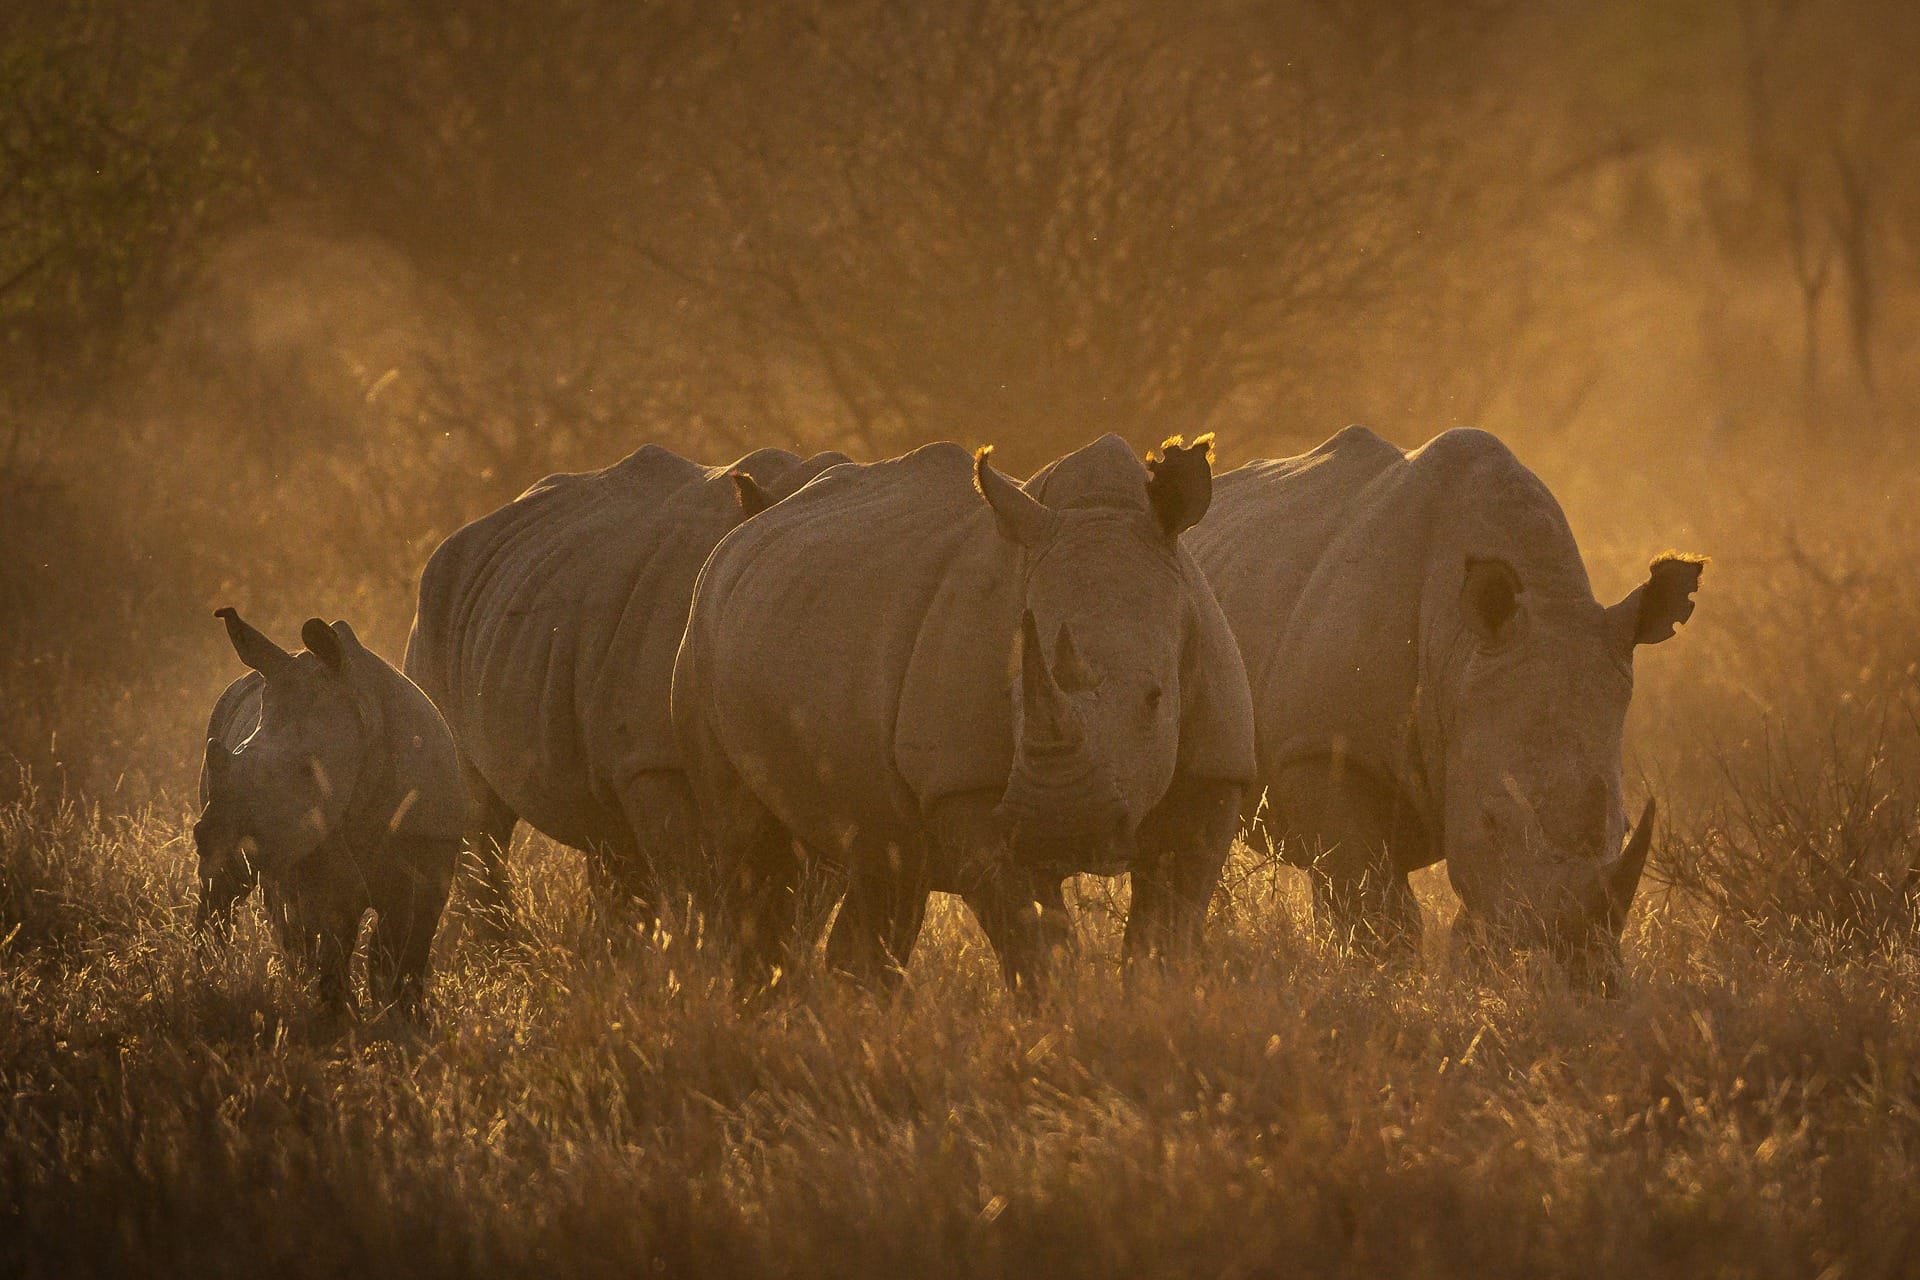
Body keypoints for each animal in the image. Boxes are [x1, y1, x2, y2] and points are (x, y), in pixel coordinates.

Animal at [195, 608, 466, 1015]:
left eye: (307, 771)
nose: (206, 836)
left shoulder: (429, 844)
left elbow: (403, 945)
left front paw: (402, 1013)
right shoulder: (315, 847)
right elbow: (338, 928)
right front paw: (339, 1012)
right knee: (230, 890)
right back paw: (206, 978)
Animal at [403, 445, 848, 928]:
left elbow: (806, 894)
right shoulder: (652, 761)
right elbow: (697, 887)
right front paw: (706, 948)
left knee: (608, 839)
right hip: (436, 612)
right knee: (480, 815)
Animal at [671, 434, 1255, 992]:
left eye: (1155, 699)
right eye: (1010, 699)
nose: (1060, 833)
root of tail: (734, 539)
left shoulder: (1213, 770)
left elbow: (1164, 933)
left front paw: (1151, 1004)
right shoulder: (964, 787)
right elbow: (1034, 942)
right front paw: (1063, 1015)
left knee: (885, 860)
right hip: (700, 638)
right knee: (753, 856)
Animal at [1187, 426, 1703, 991]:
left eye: (1626, 828)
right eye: (1491, 819)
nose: (1576, 971)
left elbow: (1466, 913)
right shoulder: (1322, 748)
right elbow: (1376, 909)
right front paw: (1382, 984)